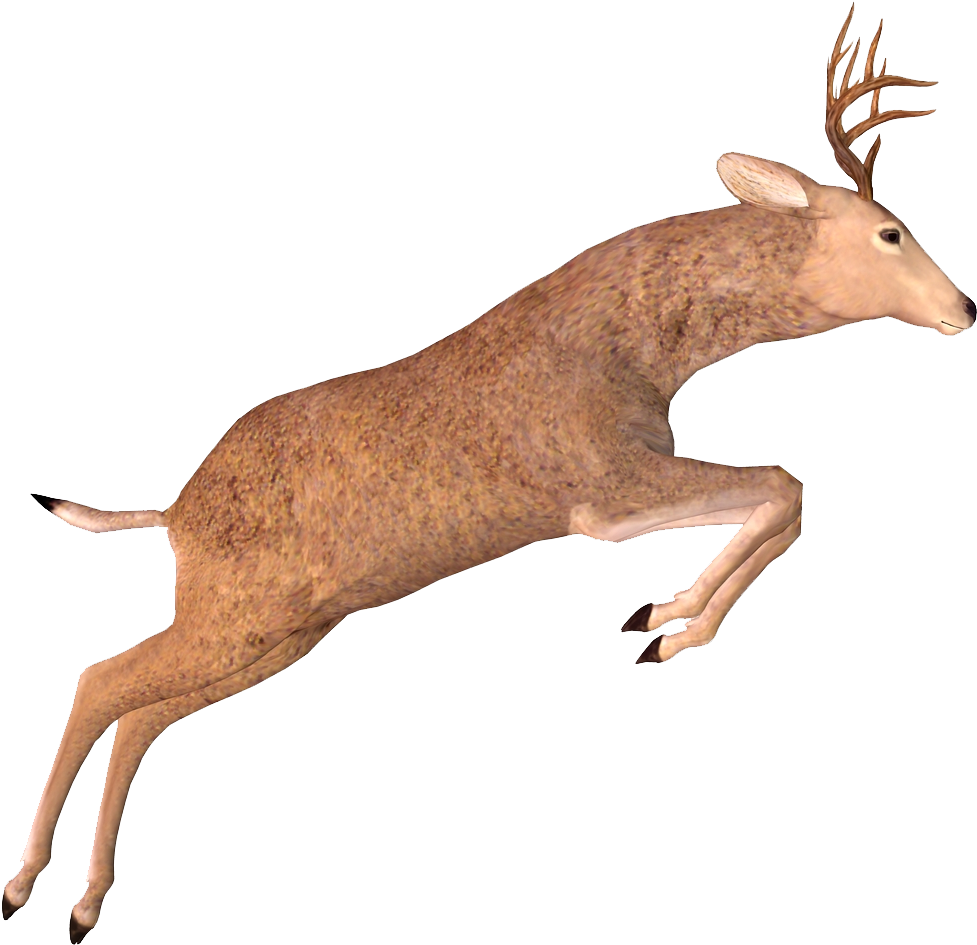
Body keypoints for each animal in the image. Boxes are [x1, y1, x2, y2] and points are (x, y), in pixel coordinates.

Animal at [4, 4, 972, 941]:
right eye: (890, 230)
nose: (963, 306)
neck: (640, 347)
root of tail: (174, 513)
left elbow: (779, 495)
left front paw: (661, 619)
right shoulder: (603, 493)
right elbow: (782, 481)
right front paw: (671, 624)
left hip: (282, 631)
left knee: (141, 711)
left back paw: (86, 901)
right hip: (238, 615)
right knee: (99, 680)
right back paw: (27, 887)